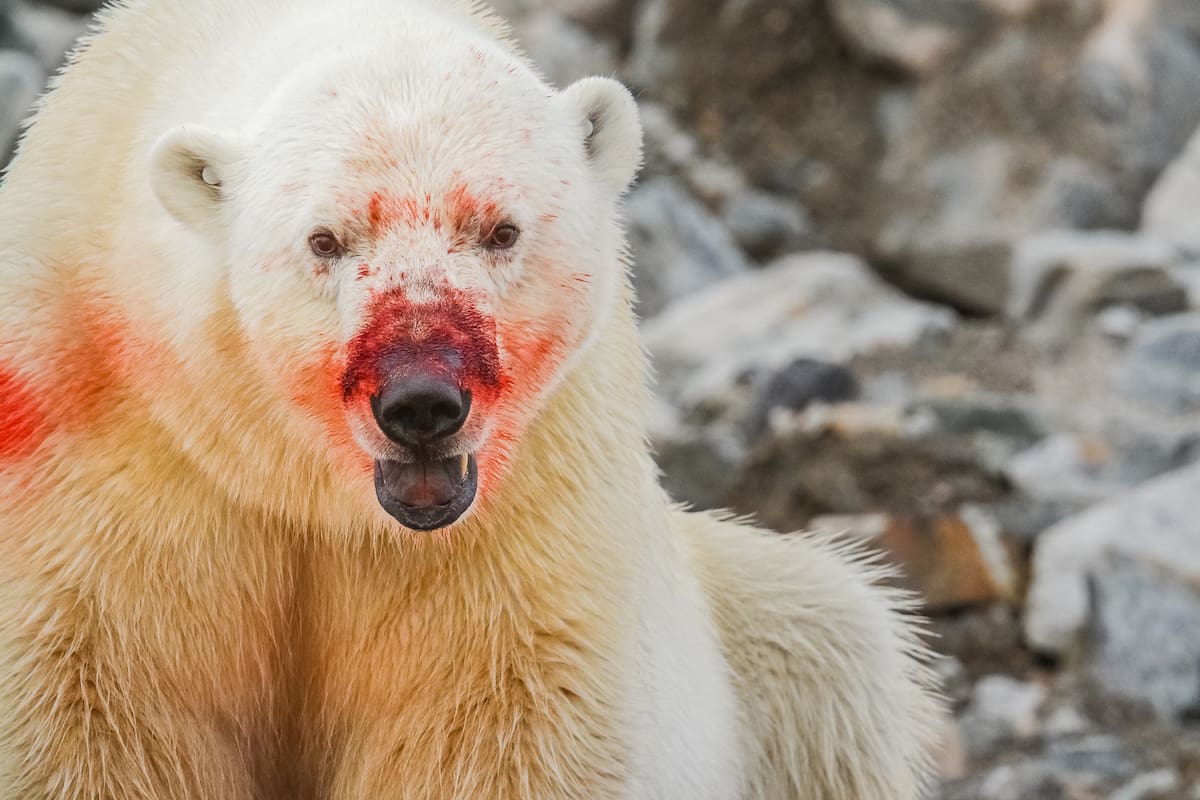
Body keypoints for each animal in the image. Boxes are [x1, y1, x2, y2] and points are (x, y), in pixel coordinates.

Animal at [0, 0, 943, 797]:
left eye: (500, 230)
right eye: (325, 239)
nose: (421, 402)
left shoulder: (528, 519)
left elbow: (498, 726)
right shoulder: (96, 462)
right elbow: (92, 715)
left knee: (840, 652)